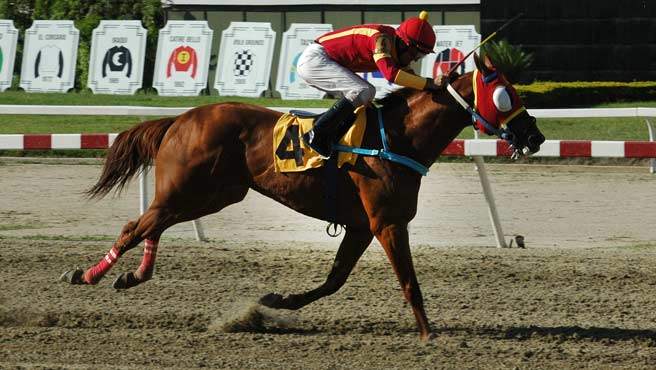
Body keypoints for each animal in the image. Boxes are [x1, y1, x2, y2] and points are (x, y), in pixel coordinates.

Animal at [60, 53, 544, 340]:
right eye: (505, 94)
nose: (535, 136)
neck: (398, 138)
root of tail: (180, 119)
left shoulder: (362, 226)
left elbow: (334, 280)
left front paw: (274, 302)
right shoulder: (387, 223)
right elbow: (409, 282)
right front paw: (429, 334)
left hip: (212, 194)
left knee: (152, 225)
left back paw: (131, 276)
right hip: (189, 190)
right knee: (136, 225)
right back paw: (86, 274)